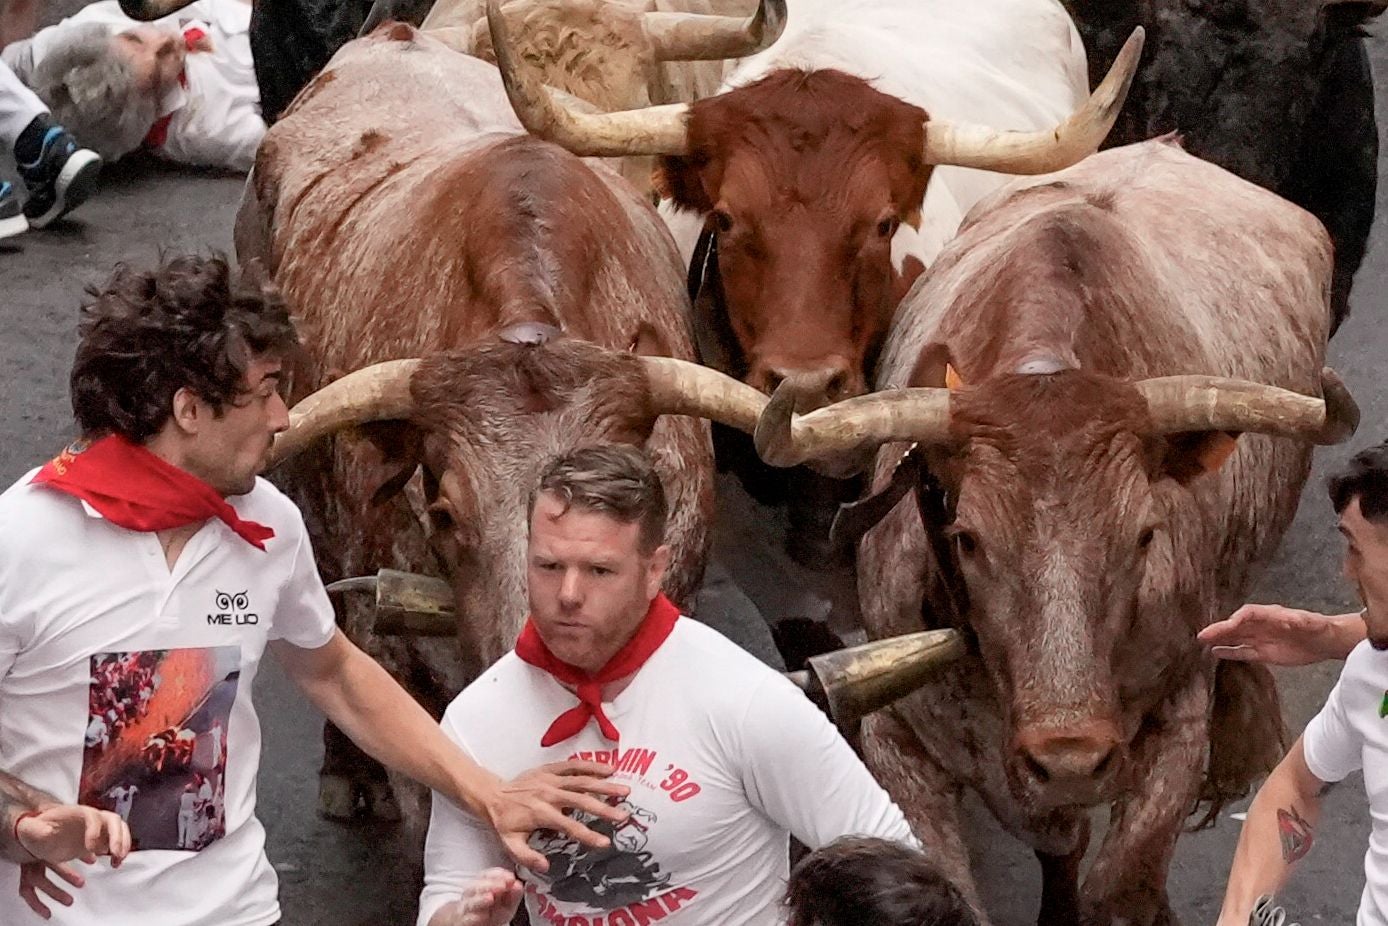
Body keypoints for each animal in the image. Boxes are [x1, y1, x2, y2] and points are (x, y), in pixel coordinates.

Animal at [755, 139, 1360, 926]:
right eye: (968, 538)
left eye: (1144, 534)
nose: (1068, 756)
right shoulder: (894, 741)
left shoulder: (1178, 728)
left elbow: (1120, 886)